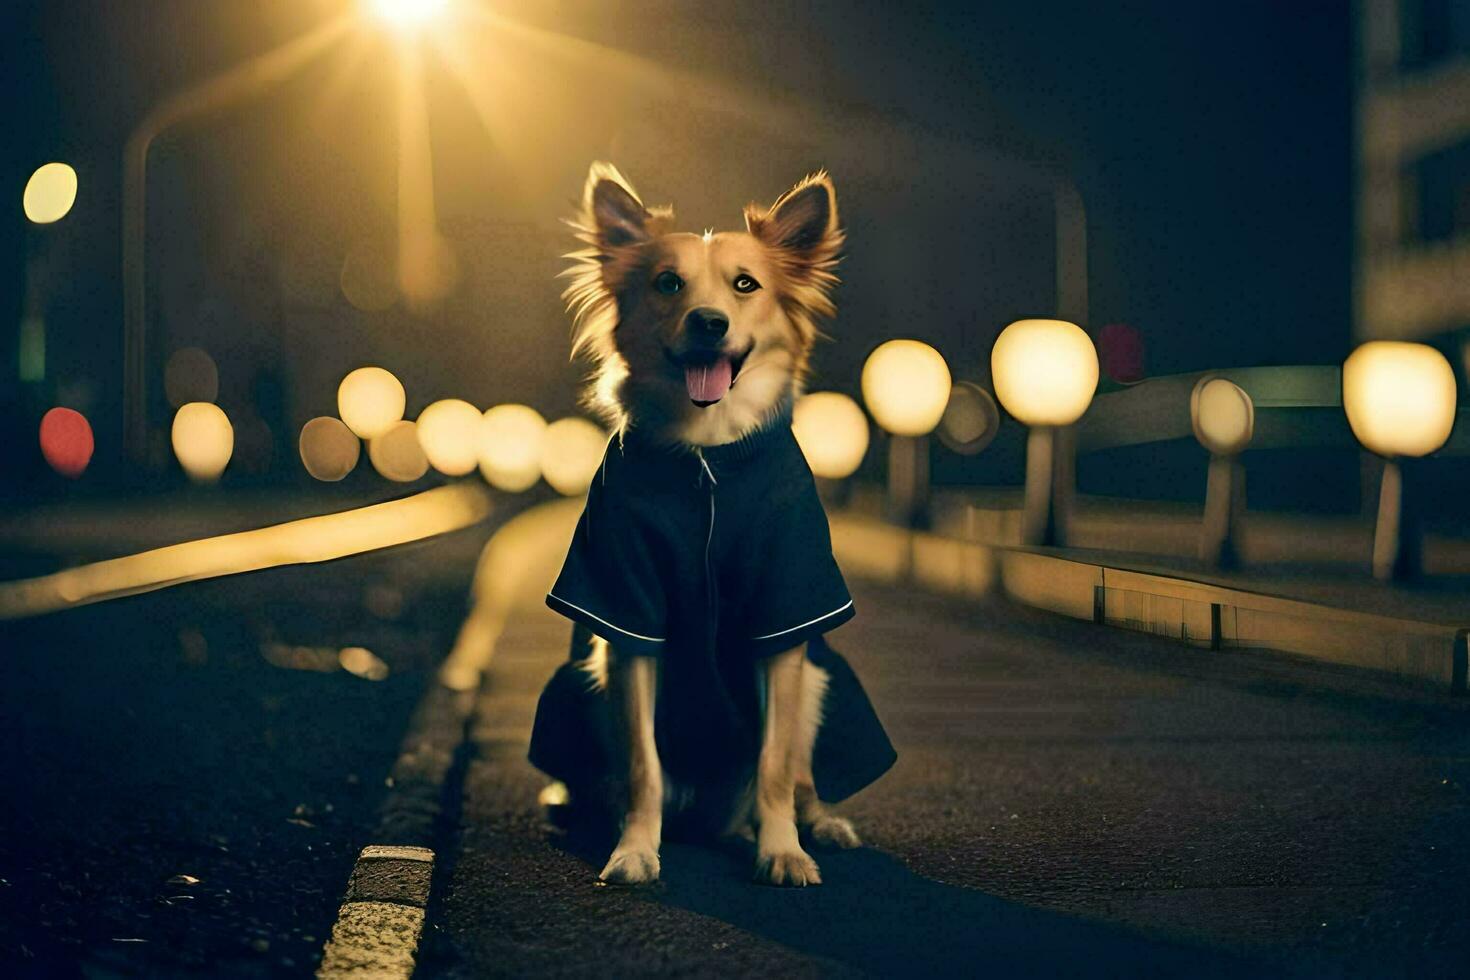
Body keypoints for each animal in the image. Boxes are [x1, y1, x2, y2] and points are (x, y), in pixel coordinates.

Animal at [529, 163, 893, 887]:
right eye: (668, 283)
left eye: (745, 284)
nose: (708, 321)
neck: (708, 452)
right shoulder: (628, 625)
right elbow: (642, 767)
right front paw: (635, 850)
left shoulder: (784, 622)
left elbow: (776, 767)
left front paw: (782, 851)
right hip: (582, 684)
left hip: (819, 680)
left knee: (800, 777)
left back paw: (820, 823)